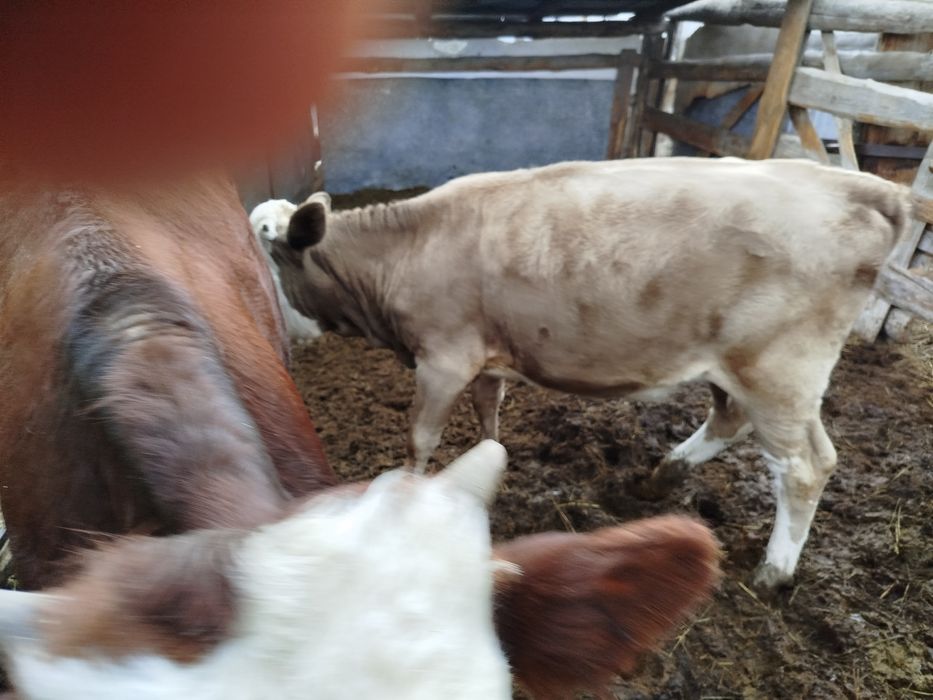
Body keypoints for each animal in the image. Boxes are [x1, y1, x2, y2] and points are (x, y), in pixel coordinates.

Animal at [272, 156, 912, 590]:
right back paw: (661, 475)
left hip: (778, 371)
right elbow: (489, 412)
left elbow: (419, 438)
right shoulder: (485, 354)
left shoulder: (442, 357)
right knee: (732, 422)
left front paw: (406, 496)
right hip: (746, 371)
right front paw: (489, 460)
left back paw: (774, 570)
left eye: (271, 257)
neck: (407, 250)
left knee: (805, 467)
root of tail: (859, 185)